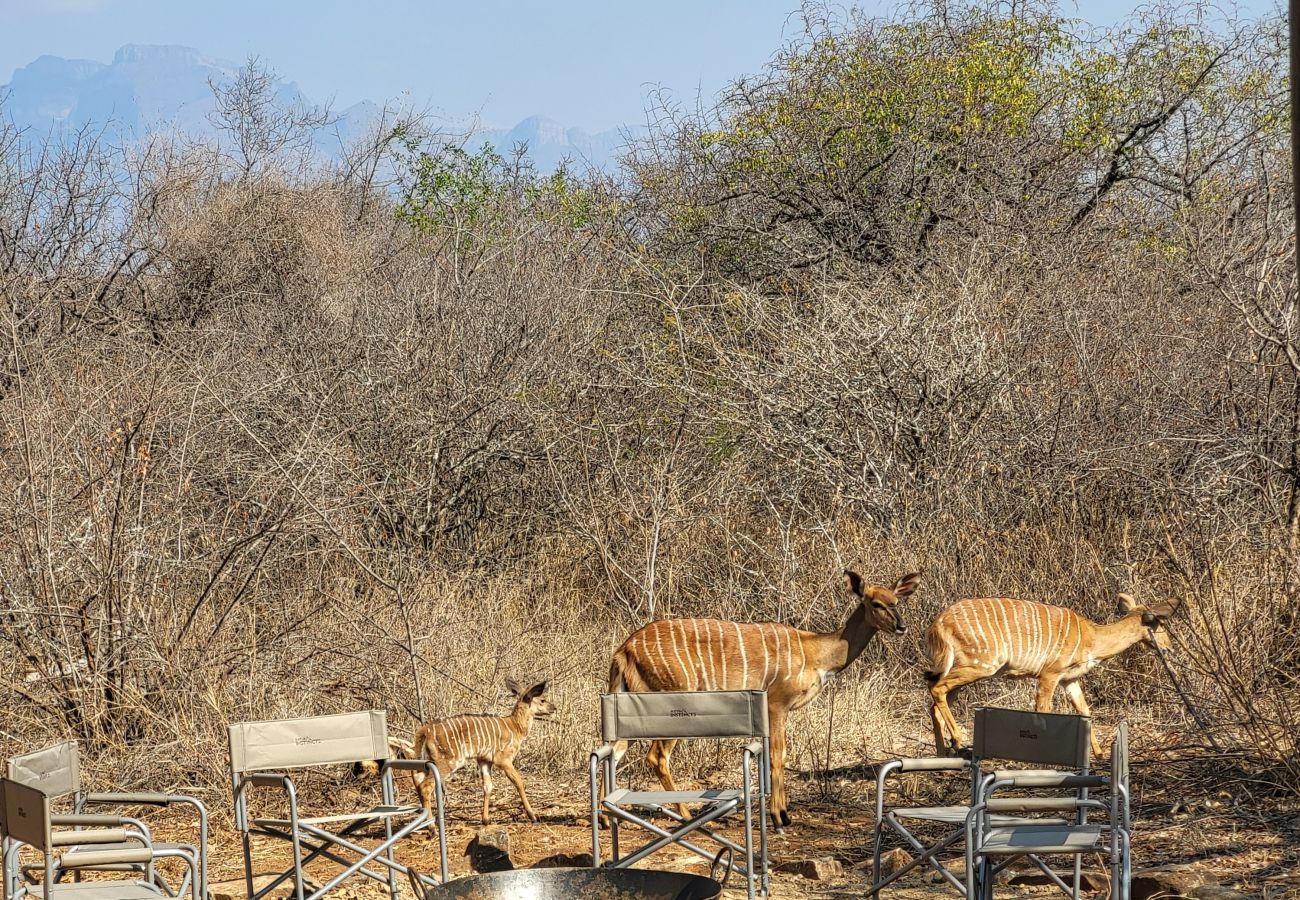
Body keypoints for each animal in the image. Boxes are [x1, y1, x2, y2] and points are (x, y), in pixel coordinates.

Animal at [410, 681, 553, 821]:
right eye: (543, 700)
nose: (554, 708)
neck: (515, 727)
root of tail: (425, 731)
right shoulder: (503, 760)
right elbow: (519, 782)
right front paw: (532, 816)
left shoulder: (484, 760)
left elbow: (487, 786)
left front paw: (485, 820)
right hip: (447, 762)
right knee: (425, 787)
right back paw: (431, 826)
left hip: (427, 761)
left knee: (417, 781)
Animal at [611, 572, 925, 827]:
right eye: (875, 603)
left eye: (896, 600)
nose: (902, 626)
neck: (816, 654)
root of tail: (624, 649)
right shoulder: (776, 704)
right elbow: (778, 755)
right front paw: (779, 816)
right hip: (674, 702)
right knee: (656, 755)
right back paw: (688, 816)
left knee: (614, 749)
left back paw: (607, 819)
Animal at [925, 593, 1180, 754]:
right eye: (1160, 625)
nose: (1170, 648)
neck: (1092, 639)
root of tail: (937, 625)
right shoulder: (1049, 673)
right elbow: (1043, 711)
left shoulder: (1070, 679)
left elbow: (1084, 710)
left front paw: (1098, 755)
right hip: (982, 663)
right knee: (936, 687)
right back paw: (959, 741)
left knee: (935, 700)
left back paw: (943, 755)